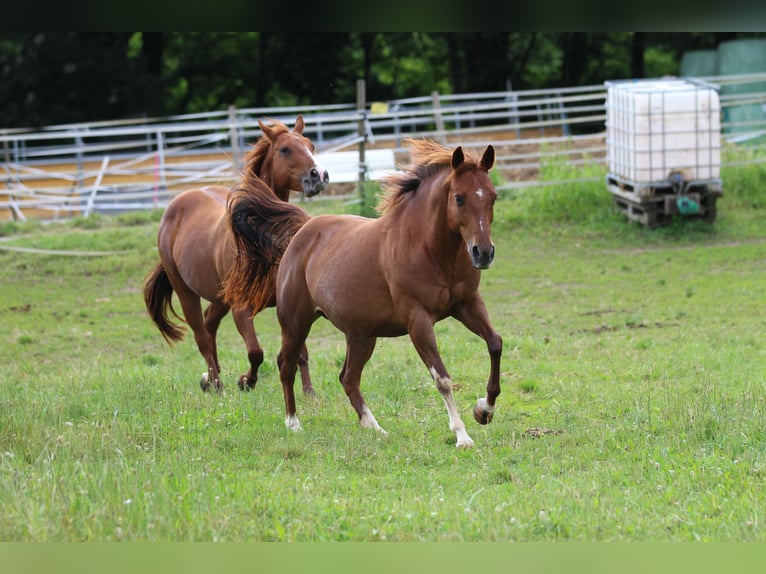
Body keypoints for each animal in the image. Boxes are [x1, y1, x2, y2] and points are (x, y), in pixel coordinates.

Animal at [142, 117, 328, 396]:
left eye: (310, 145)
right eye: (284, 149)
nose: (319, 176)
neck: (260, 233)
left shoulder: (289, 302)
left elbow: (299, 353)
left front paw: (309, 393)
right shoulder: (241, 308)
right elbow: (256, 352)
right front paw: (245, 381)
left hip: (220, 297)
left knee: (209, 325)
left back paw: (210, 379)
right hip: (186, 292)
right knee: (201, 336)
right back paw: (217, 384)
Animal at [226, 140, 504, 450]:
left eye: (493, 196)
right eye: (459, 197)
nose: (483, 253)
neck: (428, 248)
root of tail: (302, 232)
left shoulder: (468, 304)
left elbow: (495, 344)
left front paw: (484, 410)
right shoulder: (418, 320)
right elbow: (442, 378)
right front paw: (462, 435)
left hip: (361, 335)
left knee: (348, 378)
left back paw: (374, 427)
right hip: (296, 323)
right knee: (287, 366)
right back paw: (293, 423)